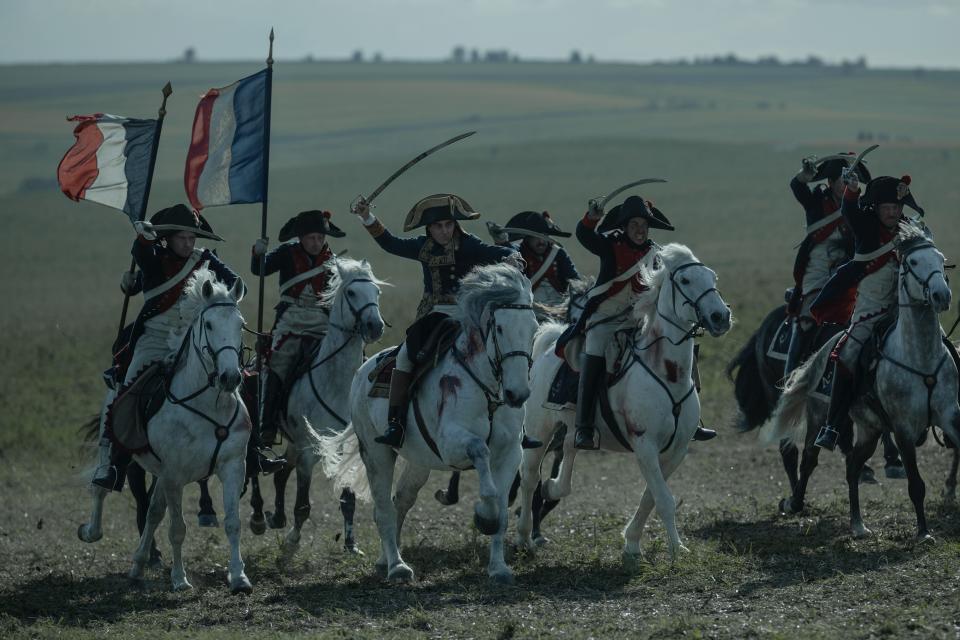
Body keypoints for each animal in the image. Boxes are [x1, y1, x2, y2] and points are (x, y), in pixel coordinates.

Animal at [79, 268, 251, 592]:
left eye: (241, 324)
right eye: (209, 324)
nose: (230, 377)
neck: (207, 406)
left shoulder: (232, 466)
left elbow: (233, 523)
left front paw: (238, 577)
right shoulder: (175, 476)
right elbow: (177, 528)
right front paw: (180, 579)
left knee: (153, 512)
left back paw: (138, 563)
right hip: (120, 455)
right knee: (101, 488)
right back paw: (91, 531)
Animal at [249, 258, 388, 556]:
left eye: (376, 292)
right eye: (351, 292)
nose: (375, 326)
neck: (336, 381)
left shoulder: (340, 446)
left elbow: (348, 499)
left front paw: (351, 544)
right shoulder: (308, 450)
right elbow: (302, 504)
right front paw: (292, 541)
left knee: (281, 474)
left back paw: (276, 517)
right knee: (255, 466)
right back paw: (258, 518)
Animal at [318, 262, 536, 584]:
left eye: (533, 328)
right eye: (499, 328)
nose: (517, 394)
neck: (485, 387)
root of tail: (361, 372)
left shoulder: (510, 454)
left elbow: (503, 511)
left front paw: (498, 568)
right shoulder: (451, 444)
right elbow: (480, 453)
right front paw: (484, 515)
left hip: (418, 462)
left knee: (400, 501)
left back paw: (385, 559)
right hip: (376, 453)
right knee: (383, 509)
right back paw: (397, 566)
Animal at [516, 245, 728, 564]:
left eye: (712, 277)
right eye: (686, 280)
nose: (721, 316)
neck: (666, 373)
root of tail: (547, 348)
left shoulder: (677, 450)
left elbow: (650, 497)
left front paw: (632, 542)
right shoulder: (645, 445)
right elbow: (663, 499)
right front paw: (676, 549)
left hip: (573, 425)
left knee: (569, 446)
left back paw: (555, 487)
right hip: (538, 432)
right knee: (529, 478)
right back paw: (525, 538)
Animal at [772, 224, 960, 540]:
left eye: (940, 258)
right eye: (913, 262)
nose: (940, 295)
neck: (919, 357)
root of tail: (826, 349)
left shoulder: (949, 417)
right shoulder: (904, 429)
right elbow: (916, 484)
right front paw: (923, 532)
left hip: (870, 430)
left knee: (852, 466)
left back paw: (858, 524)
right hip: (819, 417)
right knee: (810, 458)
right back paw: (795, 503)